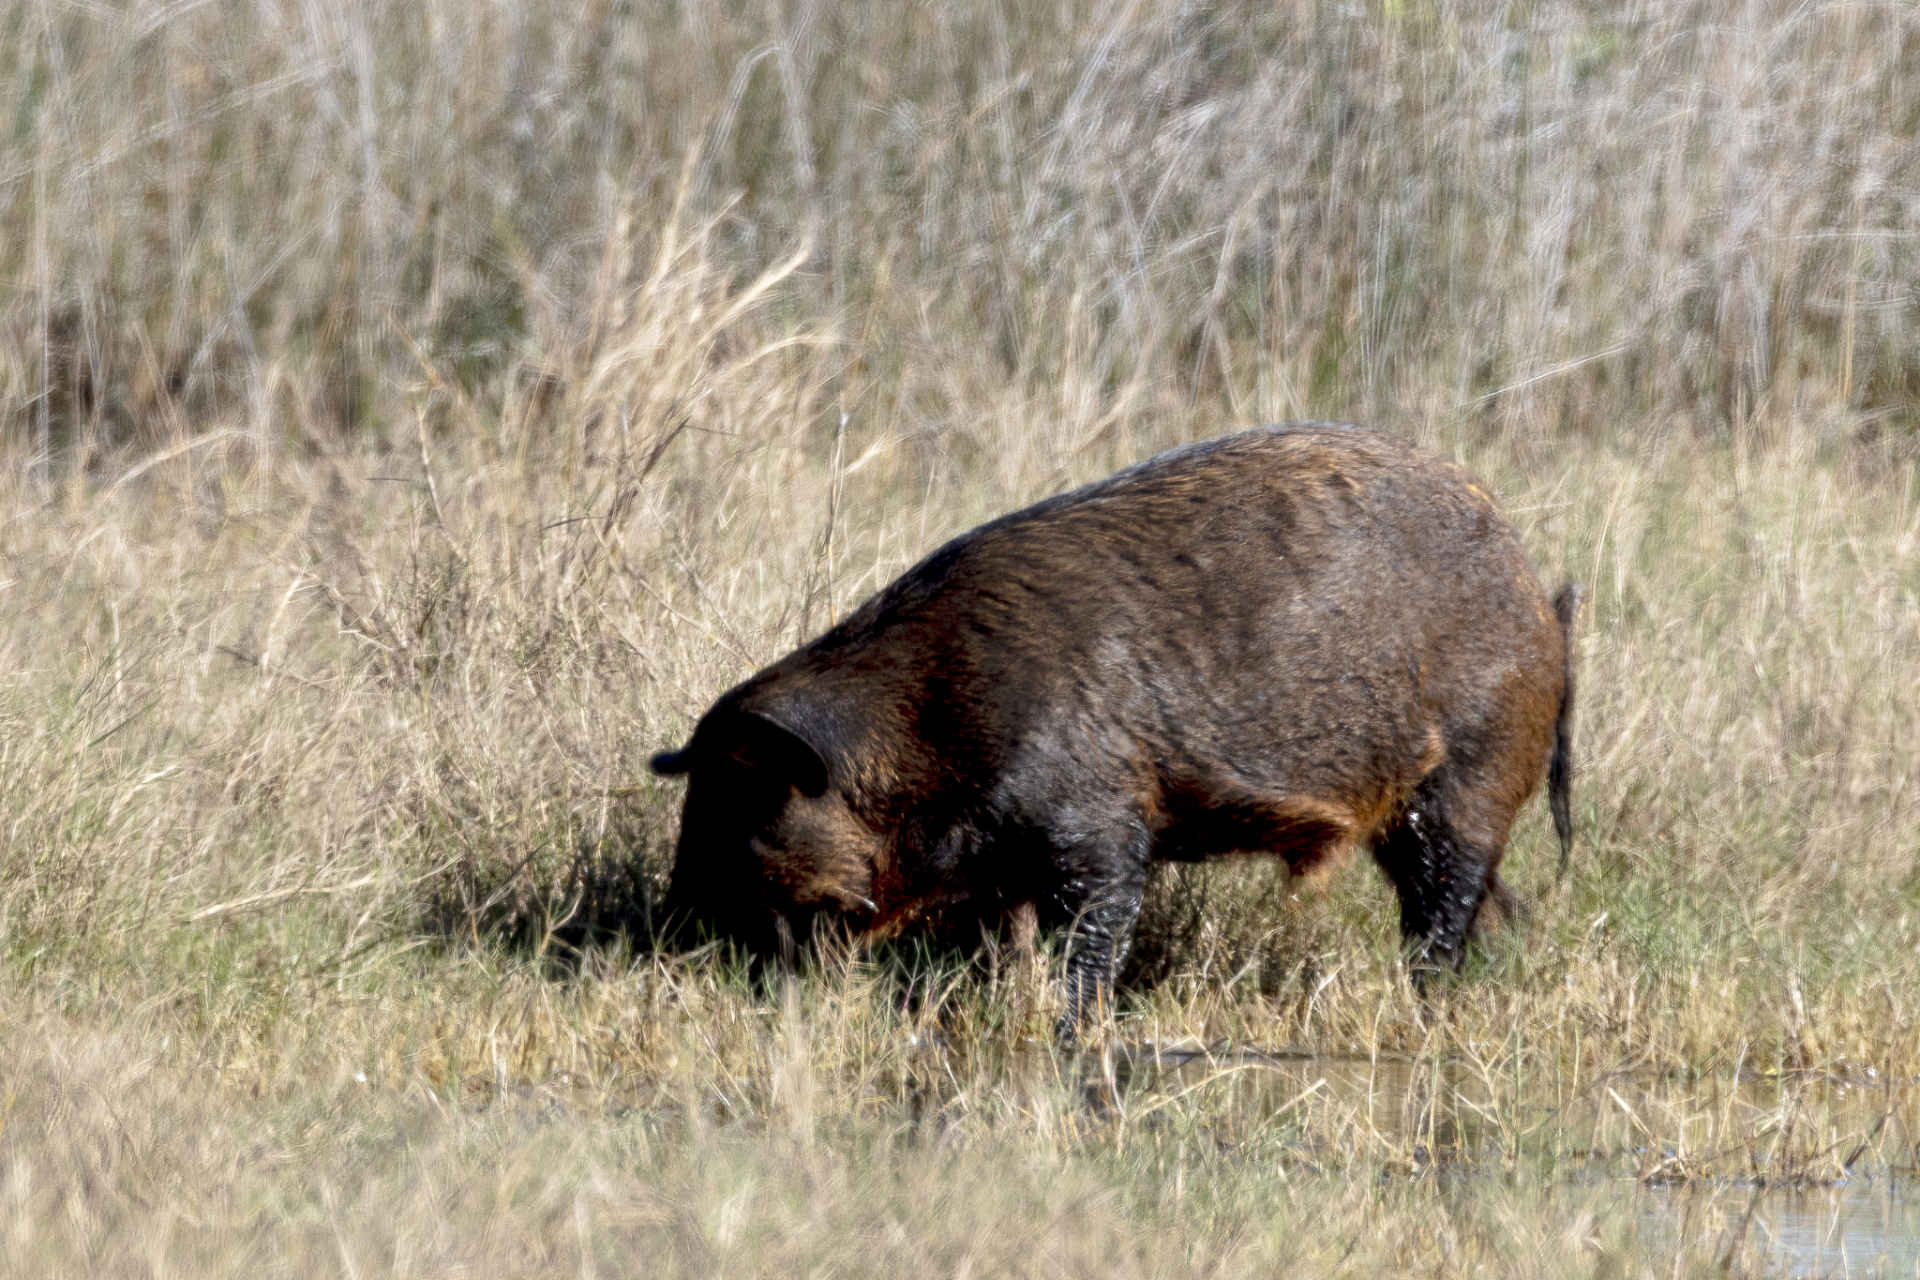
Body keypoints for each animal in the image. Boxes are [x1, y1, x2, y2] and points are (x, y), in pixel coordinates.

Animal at [652, 420, 1582, 1028]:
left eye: (743, 803)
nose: (664, 935)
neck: (926, 733)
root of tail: (1539, 595)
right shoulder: (1000, 872)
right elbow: (1005, 944)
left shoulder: (1098, 822)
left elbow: (1097, 928)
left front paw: (1072, 1033)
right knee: (1492, 905)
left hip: (1475, 765)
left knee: (1446, 900)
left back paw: (1426, 1004)